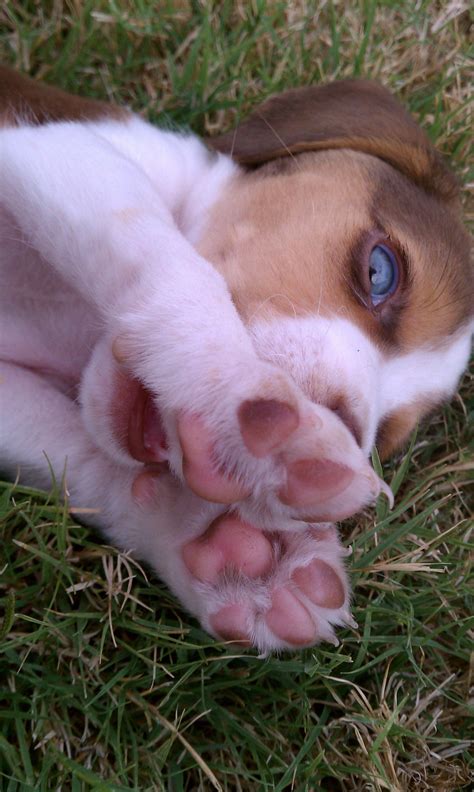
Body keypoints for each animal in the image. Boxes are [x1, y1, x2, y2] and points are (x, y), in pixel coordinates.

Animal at [0, 68, 470, 648]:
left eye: (382, 439)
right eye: (381, 271)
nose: (338, 422)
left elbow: (88, 462)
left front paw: (237, 552)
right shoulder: (52, 144)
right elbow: (157, 251)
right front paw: (253, 413)